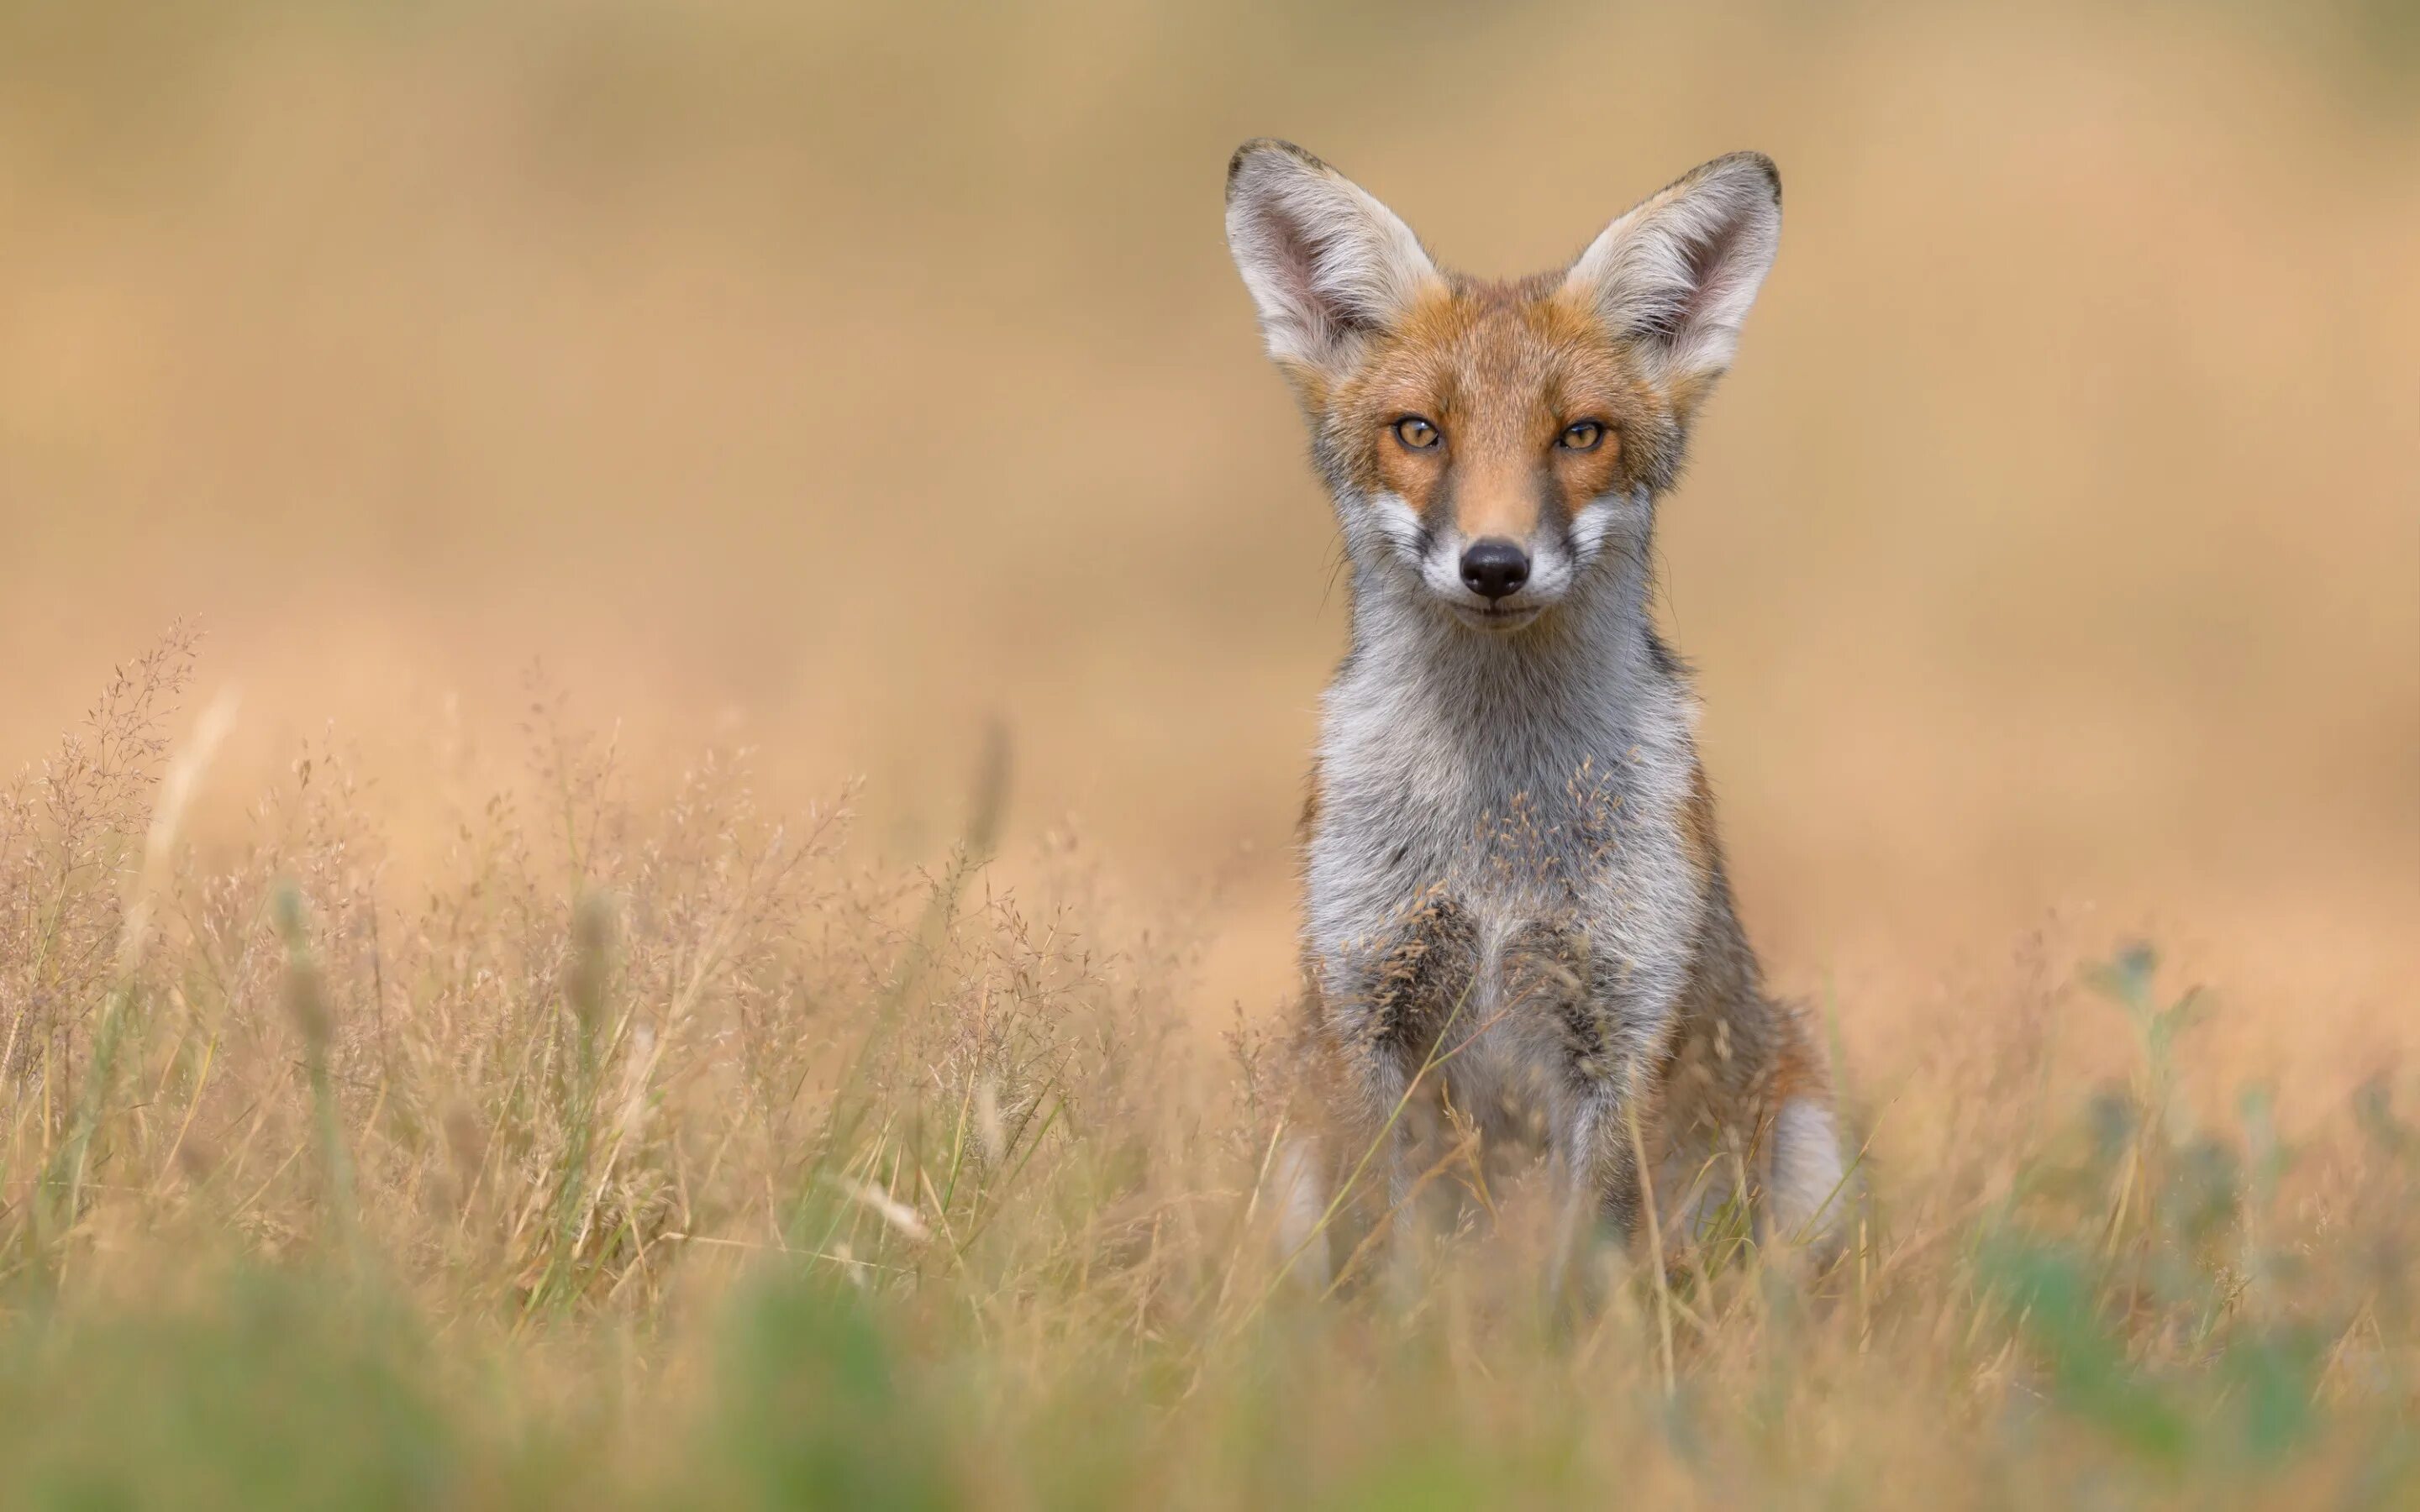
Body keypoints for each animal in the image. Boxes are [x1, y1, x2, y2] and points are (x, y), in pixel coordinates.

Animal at [1229, 141, 1849, 1287]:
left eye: (1580, 435)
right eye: (1420, 432)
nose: (1494, 564)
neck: (1496, 834)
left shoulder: (1625, 1015)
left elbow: (1585, 1257)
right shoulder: (1364, 999)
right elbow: (1380, 1246)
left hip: (1804, 1127)